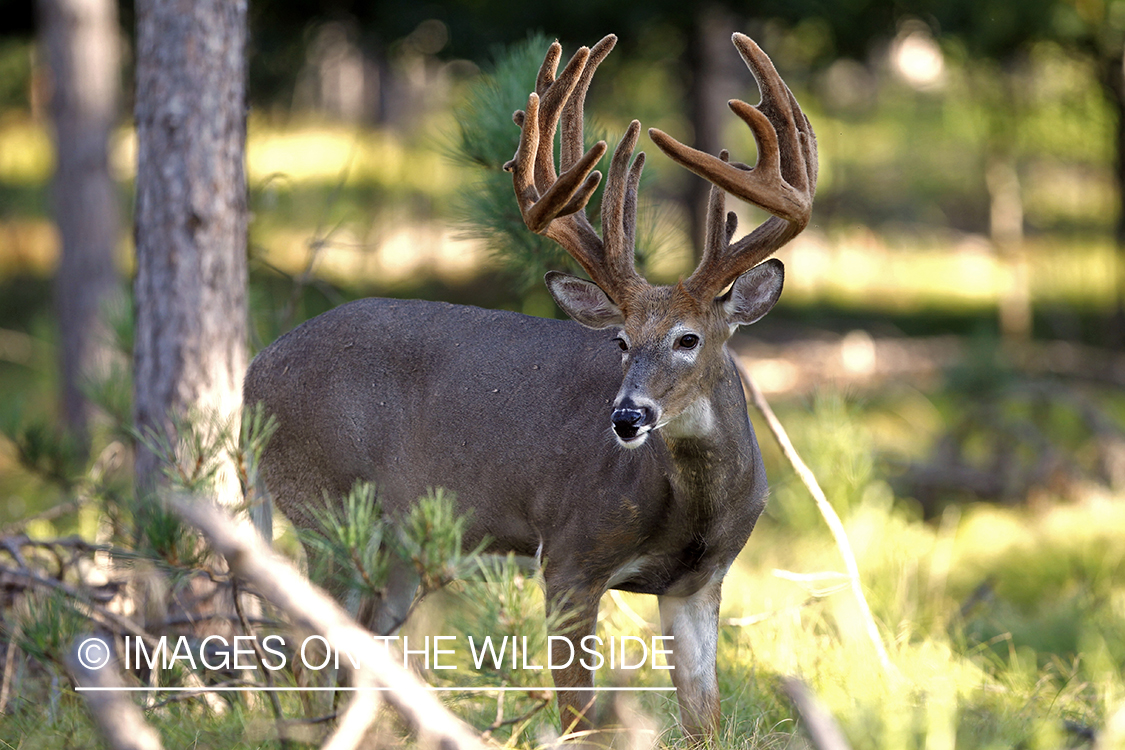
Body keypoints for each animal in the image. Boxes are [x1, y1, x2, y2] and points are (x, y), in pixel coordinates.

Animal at [241, 33, 814, 737]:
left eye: (689, 339)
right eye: (621, 341)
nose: (626, 417)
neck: (692, 508)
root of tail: (252, 372)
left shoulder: (699, 584)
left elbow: (702, 721)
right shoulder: (569, 555)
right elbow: (579, 716)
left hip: (394, 546)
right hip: (324, 507)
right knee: (305, 646)